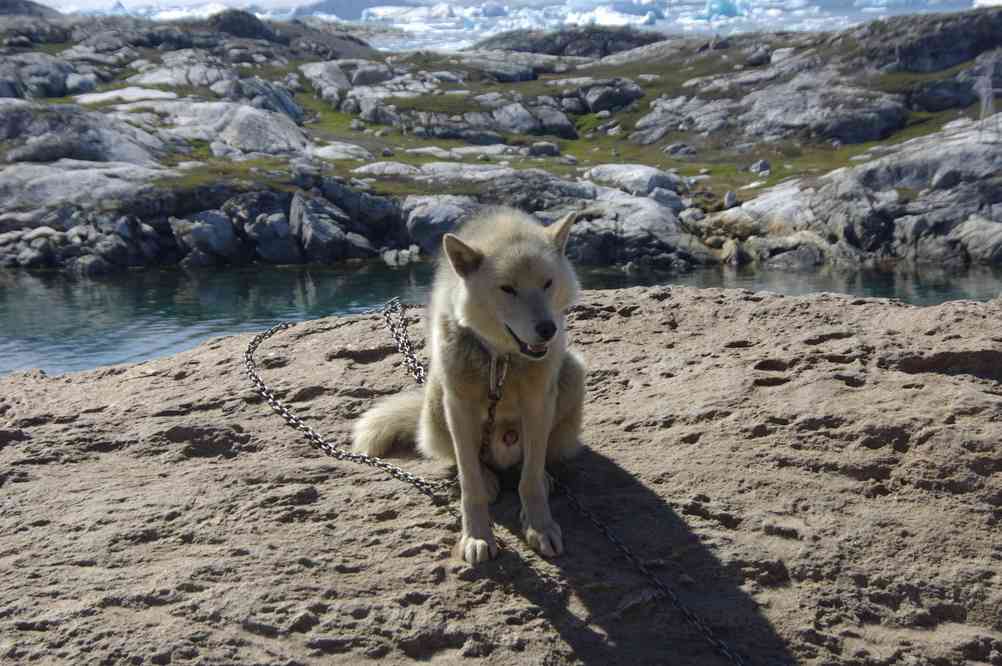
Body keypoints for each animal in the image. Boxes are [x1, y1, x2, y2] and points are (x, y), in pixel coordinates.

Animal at [352, 205, 585, 564]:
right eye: (508, 289)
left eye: (547, 283)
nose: (548, 329)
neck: (500, 360)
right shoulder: (459, 408)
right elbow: (469, 484)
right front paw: (477, 536)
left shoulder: (538, 403)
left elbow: (529, 478)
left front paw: (540, 526)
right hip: (436, 397)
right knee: (465, 461)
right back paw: (489, 479)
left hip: (572, 371)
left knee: (535, 458)